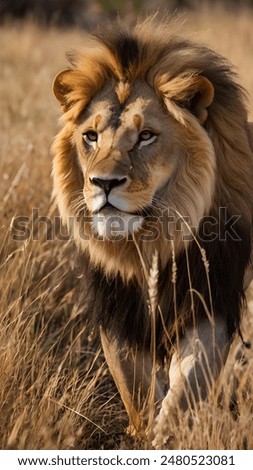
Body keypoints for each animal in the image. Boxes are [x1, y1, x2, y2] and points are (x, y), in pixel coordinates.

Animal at [51, 15, 253, 448]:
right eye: (90, 136)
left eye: (146, 136)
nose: (103, 183)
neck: (147, 244)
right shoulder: (117, 306)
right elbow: (135, 386)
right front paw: (143, 434)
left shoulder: (209, 298)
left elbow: (186, 387)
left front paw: (169, 437)